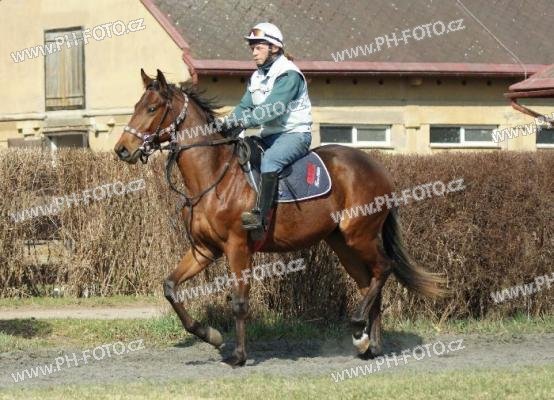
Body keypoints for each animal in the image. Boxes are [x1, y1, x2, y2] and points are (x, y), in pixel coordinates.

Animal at [114, 69, 444, 367]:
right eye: (136, 106)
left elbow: (239, 302)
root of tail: (378, 167)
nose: (122, 150)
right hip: (342, 243)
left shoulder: (238, 248)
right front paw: (210, 335)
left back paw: (358, 328)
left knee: (383, 269)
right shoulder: (204, 250)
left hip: (359, 236)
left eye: (152, 109)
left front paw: (238, 355)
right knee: (369, 281)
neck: (214, 177)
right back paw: (368, 344)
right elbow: (170, 286)